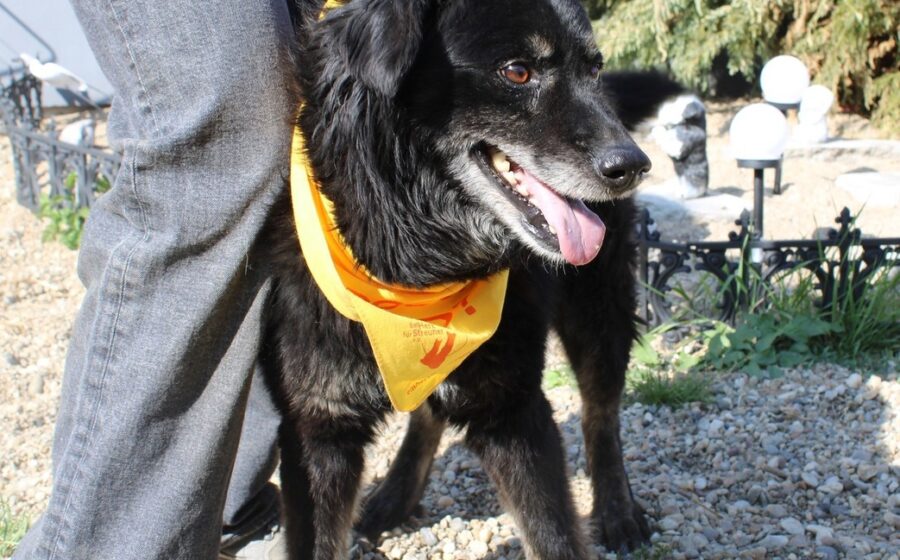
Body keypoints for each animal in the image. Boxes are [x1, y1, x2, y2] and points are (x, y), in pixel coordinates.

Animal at [263, 0, 684, 558]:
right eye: (517, 71)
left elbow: (553, 535)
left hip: (598, 309)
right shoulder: (318, 428)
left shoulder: (512, 407)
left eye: (593, 69)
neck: (419, 266)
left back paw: (617, 510)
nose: (633, 164)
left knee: (601, 413)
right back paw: (396, 494)